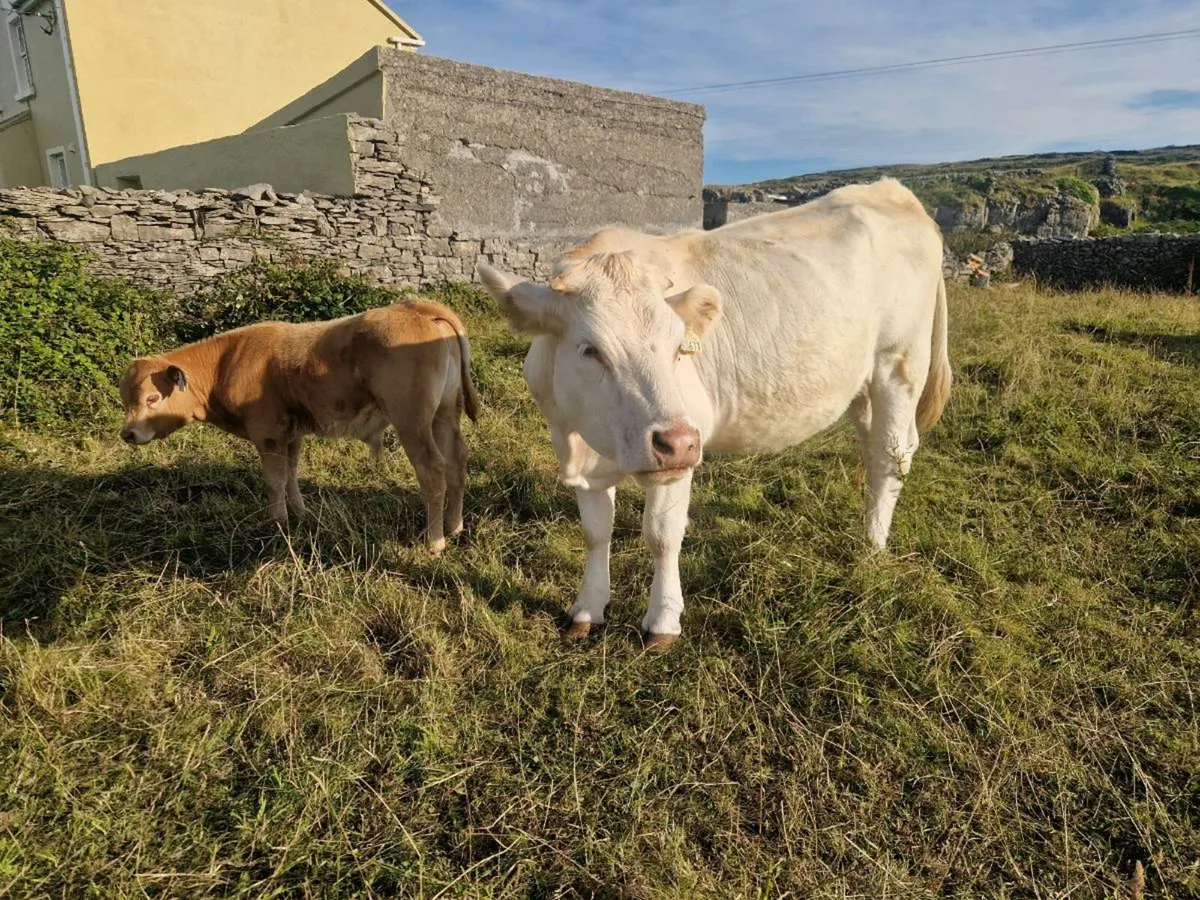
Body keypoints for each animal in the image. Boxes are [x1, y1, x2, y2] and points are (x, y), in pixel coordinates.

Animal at [119, 300, 480, 553]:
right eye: (125, 399)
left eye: (152, 398)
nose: (128, 433)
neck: (227, 362)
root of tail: (415, 306)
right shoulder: (291, 434)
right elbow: (291, 475)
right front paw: (300, 513)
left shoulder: (267, 433)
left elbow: (274, 482)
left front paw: (278, 524)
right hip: (444, 414)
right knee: (457, 461)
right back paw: (454, 527)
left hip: (412, 420)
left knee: (433, 469)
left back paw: (434, 541)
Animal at [477, 178, 951, 648]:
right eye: (590, 349)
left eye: (679, 347)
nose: (676, 442)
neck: (585, 447)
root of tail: (890, 189)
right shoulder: (576, 442)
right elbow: (596, 531)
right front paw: (587, 609)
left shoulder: (682, 448)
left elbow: (662, 535)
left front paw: (663, 621)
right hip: (863, 384)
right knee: (874, 449)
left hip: (899, 364)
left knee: (892, 455)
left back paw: (872, 545)